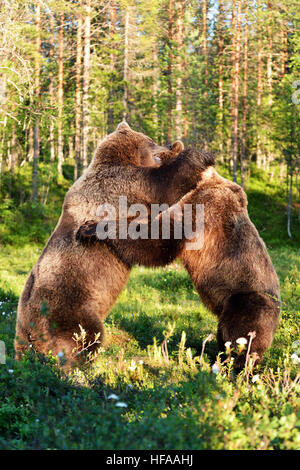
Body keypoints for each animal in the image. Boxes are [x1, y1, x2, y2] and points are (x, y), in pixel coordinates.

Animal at [14, 123, 211, 366]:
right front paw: (198, 154)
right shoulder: (124, 186)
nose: (169, 144)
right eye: (151, 140)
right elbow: (164, 186)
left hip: (26, 332)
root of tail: (30, 333)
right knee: (84, 335)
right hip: (69, 305)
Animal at [78, 151, 282, 368]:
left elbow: (160, 237)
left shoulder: (203, 207)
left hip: (247, 300)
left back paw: (236, 364)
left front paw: (91, 228)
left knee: (239, 335)